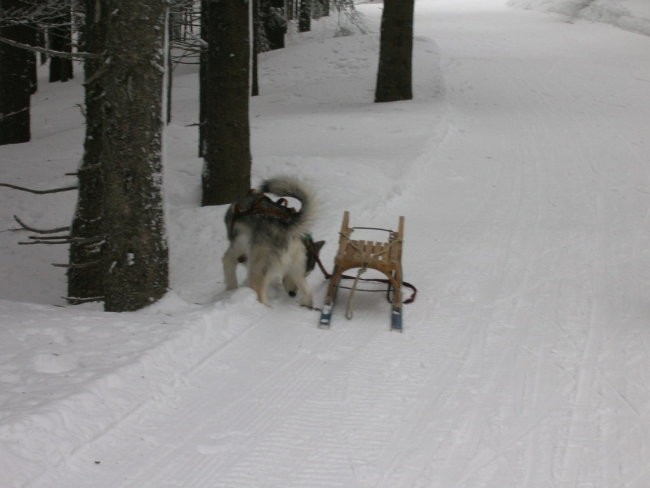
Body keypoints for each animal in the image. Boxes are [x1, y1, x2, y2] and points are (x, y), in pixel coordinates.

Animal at [221, 175, 324, 306]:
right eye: (307, 274)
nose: (293, 294)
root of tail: (287, 226)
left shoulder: (238, 247)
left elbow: (227, 261)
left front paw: (231, 288)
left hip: (258, 268)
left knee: (260, 294)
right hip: (296, 269)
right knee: (309, 294)